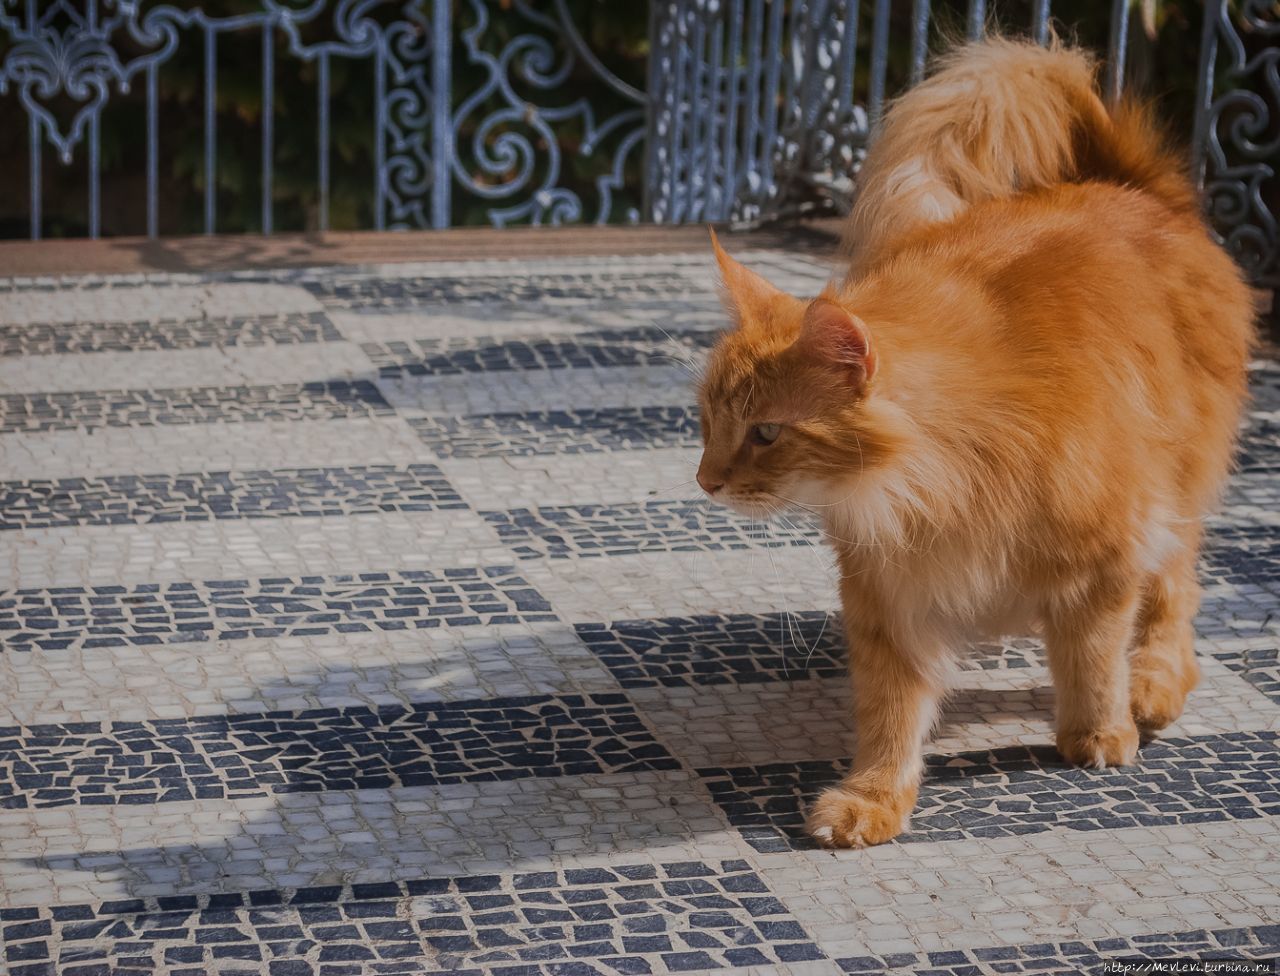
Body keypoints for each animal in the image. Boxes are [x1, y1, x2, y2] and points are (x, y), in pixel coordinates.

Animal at [701, 38, 1249, 845]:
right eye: (707, 423)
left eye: (766, 433)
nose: (705, 480)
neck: (933, 485)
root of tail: (1128, 185)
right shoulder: (887, 597)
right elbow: (892, 714)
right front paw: (875, 797)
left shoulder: (1107, 556)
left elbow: (1092, 657)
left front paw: (1098, 731)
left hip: (1175, 486)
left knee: (1175, 591)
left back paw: (1153, 685)